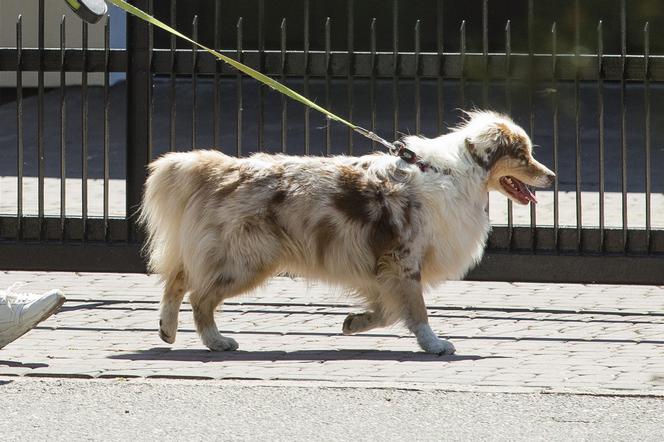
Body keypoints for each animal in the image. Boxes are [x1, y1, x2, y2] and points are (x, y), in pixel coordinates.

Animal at [139, 111, 556, 356]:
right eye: (523, 155)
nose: (552, 176)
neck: (455, 173)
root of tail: (220, 168)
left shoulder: (382, 269)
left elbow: (387, 310)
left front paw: (355, 322)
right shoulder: (403, 259)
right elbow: (416, 308)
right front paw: (433, 343)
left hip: (221, 253)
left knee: (177, 279)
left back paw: (167, 331)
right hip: (246, 260)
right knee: (199, 296)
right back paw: (216, 340)